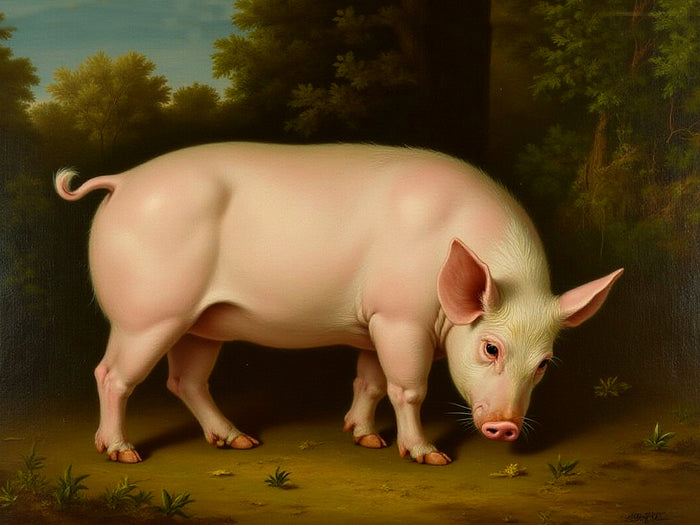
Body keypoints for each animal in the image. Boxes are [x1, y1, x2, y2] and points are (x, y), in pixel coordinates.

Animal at [54, 142, 623, 466]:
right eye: (490, 348)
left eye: (544, 363)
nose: (504, 426)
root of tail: (123, 180)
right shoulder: (400, 317)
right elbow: (407, 388)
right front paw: (429, 456)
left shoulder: (373, 323)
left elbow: (368, 381)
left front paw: (365, 439)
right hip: (148, 314)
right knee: (112, 375)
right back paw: (124, 454)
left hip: (201, 322)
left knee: (186, 381)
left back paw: (240, 442)